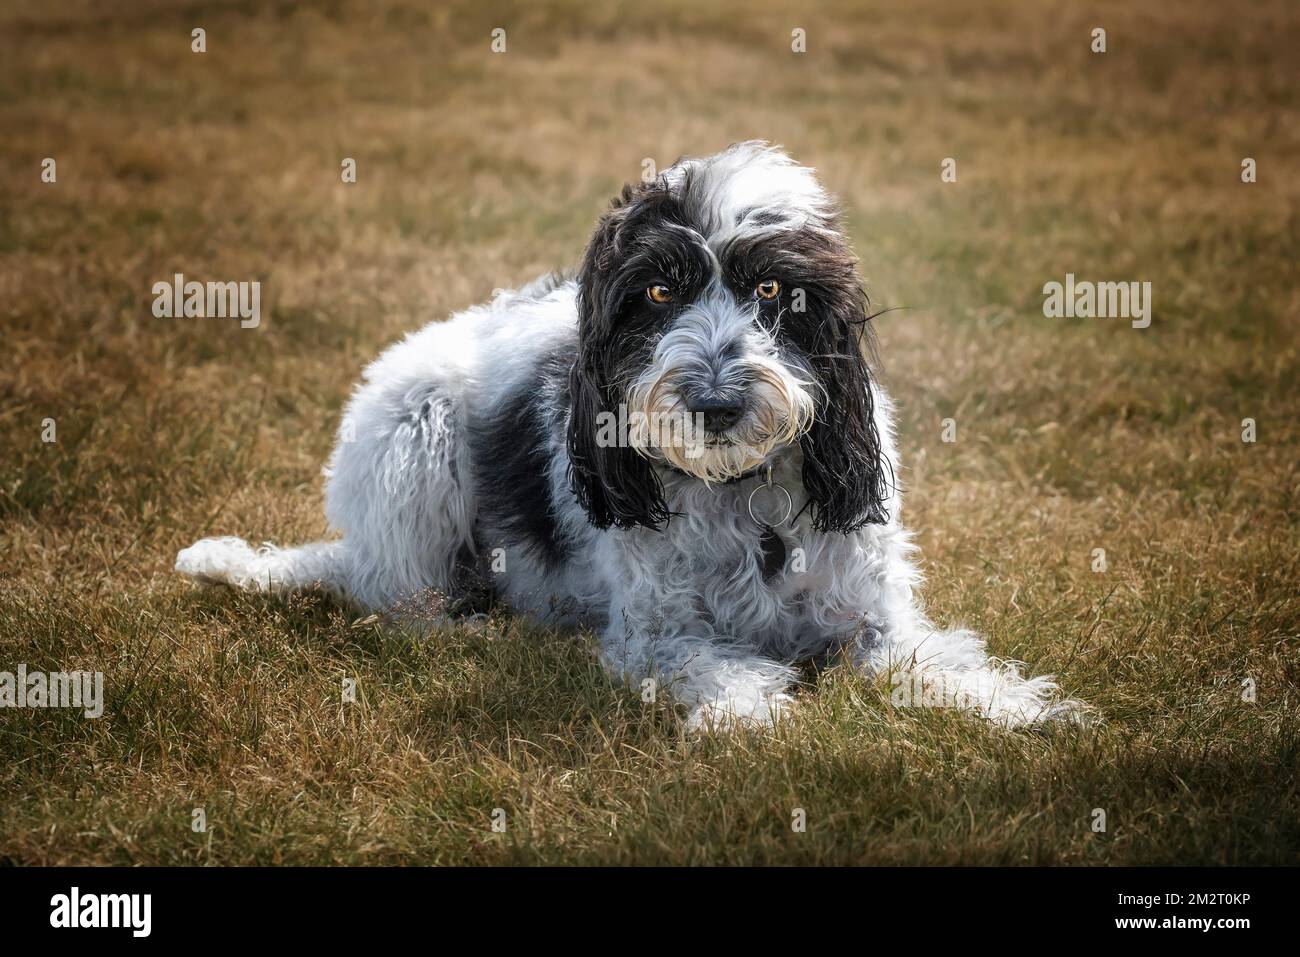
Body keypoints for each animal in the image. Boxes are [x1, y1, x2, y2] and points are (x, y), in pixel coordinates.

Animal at [178, 140, 1081, 722]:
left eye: (772, 289)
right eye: (655, 292)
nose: (715, 402)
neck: (740, 496)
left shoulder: (870, 618)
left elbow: (929, 659)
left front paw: (1021, 706)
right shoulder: (658, 632)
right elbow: (724, 673)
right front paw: (754, 709)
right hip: (416, 436)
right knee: (396, 596)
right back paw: (468, 623)